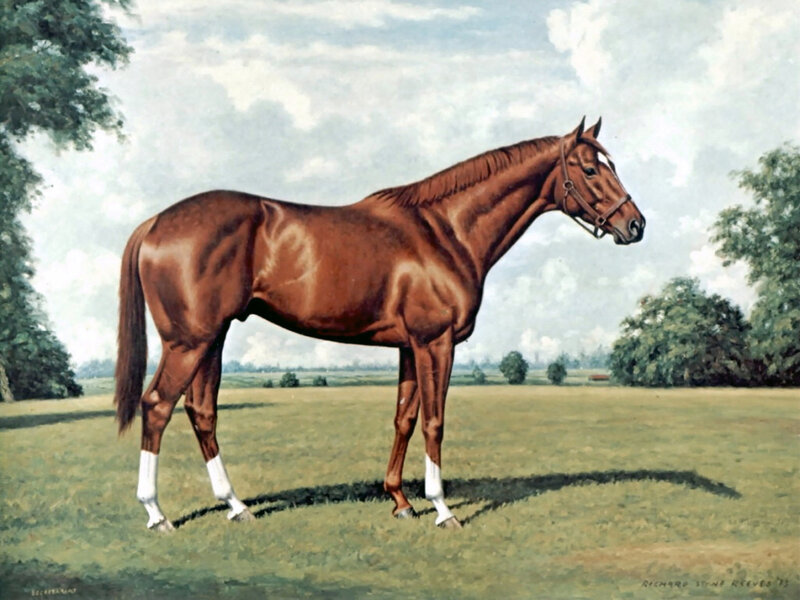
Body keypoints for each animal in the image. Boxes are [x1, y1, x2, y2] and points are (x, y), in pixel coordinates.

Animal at [115, 117, 645, 531]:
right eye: (591, 168)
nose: (635, 225)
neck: (445, 231)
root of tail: (156, 223)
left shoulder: (410, 346)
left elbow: (404, 419)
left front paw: (401, 500)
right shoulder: (436, 343)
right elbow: (434, 421)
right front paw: (442, 508)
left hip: (213, 338)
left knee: (201, 410)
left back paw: (235, 505)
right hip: (189, 341)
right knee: (157, 406)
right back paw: (156, 514)